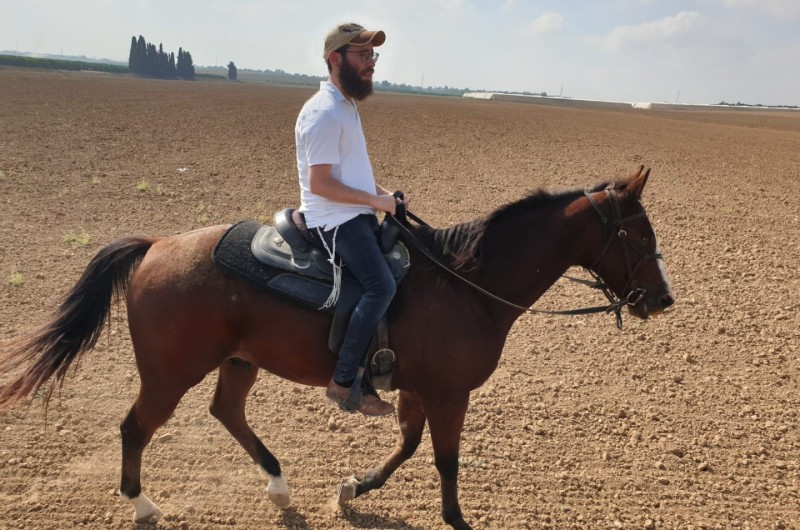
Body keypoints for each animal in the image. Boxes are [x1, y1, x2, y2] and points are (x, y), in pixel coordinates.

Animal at [0, 166, 672, 528]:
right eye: (639, 235)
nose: (661, 300)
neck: (467, 283)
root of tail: (157, 245)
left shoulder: (419, 389)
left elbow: (408, 447)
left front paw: (354, 487)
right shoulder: (449, 394)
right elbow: (444, 460)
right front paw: (455, 519)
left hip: (239, 362)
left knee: (227, 412)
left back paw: (278, 484)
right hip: (170, 372)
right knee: (136, 427)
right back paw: (142, 504)